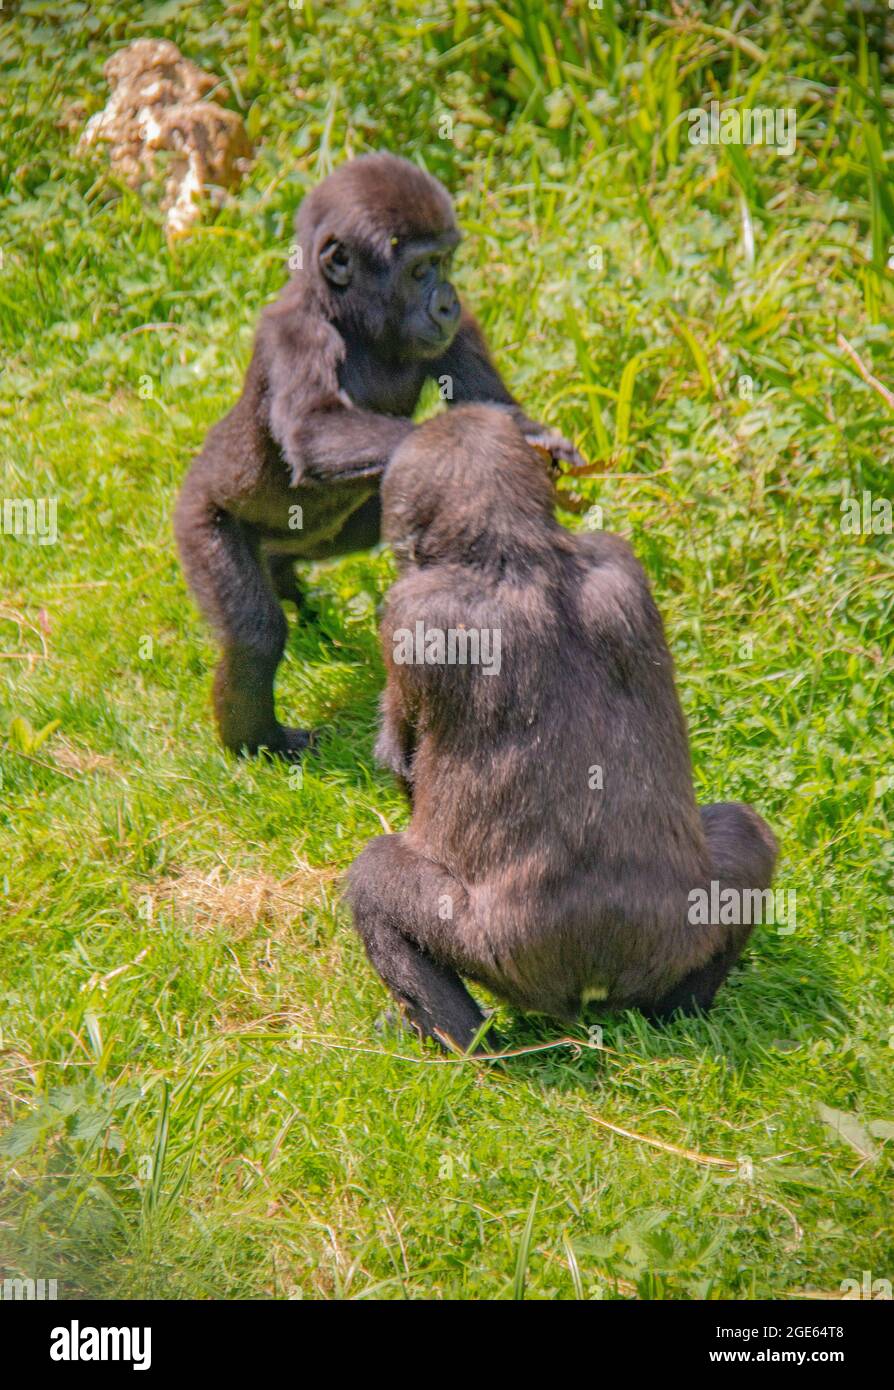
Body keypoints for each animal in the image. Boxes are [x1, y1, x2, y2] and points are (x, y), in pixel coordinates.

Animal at [175, 152, 583, 761]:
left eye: (446, 262)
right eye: (420, 270)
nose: (449, 300)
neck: (350, 318)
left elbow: (490, 399)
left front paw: (531, 439)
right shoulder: (296, 333)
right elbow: (316, 428)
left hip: (318, 532)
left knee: (329, 533)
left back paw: (283, 574)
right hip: (199, 518)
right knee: (252, 635)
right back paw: (256, 741)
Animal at [346, 405, 778, 1045]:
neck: (511, 547)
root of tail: (595, 977)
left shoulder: (411, 613)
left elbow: (403, 763)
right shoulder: (622, 560)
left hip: (500, 952)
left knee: (375, 885)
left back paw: (465, 1046)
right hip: (677, 927)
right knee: (747, 839)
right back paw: (680, 1011)